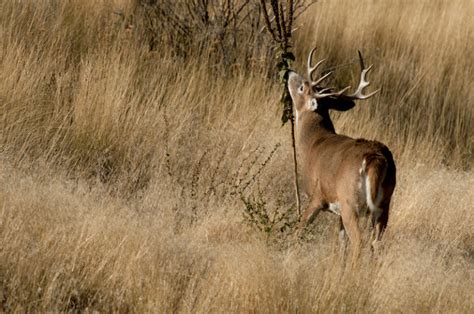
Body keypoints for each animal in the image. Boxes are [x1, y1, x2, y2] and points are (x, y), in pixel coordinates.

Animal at [288, 47, 396, 258]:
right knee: (376, 243)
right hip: (384, 203)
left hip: (350, 201)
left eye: (302, 87)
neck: (313, 142)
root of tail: (375, 158)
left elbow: (300, 228)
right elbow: (341, 242)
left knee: (359, 242)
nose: (289, 72)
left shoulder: (318, 195)